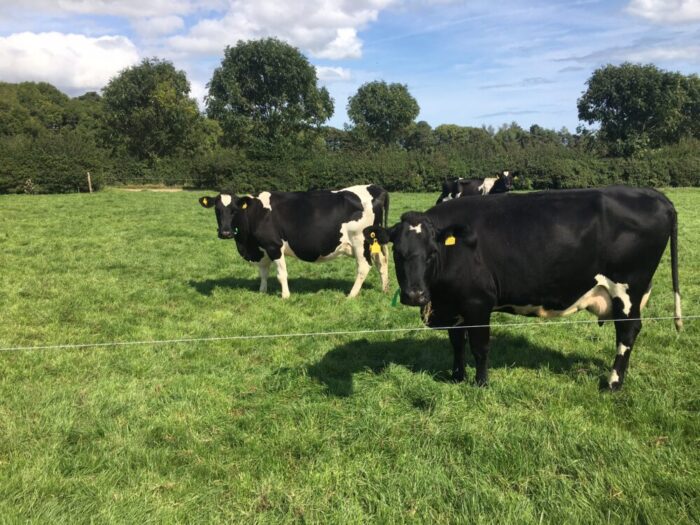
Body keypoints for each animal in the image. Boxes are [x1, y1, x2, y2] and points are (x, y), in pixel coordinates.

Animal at [199, 185, 390, 299]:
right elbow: (263, 272)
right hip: (375, 243)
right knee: (382, 263)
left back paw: (351, 295)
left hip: (360, 242)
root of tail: (375, 188)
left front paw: (285, 296)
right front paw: (262, 291)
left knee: (364, 267)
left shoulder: (274, 246)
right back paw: (384, 288)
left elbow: (281, 274)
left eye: (234, 209)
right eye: (217, 210)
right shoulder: (262, 249)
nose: (225, 232)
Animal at [365, 186, 682, 391]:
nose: (414, 295)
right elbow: (457, 343)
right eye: (398, 254)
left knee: (627, 332)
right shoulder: (455, 305)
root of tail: (655, 195)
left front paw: (480, 384)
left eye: (431, 253)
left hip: (627, 288)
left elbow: (480, 345)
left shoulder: (478, 302)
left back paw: (613, 383)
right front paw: (456, 377)